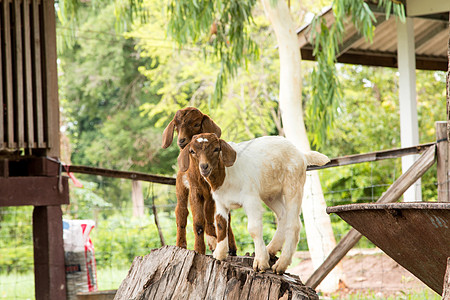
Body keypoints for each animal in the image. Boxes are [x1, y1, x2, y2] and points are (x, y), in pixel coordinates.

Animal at [163, 106, 237, 254]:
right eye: (176, 126)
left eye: (196, 124)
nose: (181, 140)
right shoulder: (195, 190)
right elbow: (198, 221)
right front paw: (198, 249)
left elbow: (226, 218)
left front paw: (231, 248)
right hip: (181, 186)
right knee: (181, 212)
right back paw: (181, 244)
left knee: (208, 215)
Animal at [177, 132, 330, 274]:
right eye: (192, 151)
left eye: (216, 149)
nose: (204, 166)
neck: (226, 175)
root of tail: (301, 154)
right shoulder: (220, 201)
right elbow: (221, 224)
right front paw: (219, 254)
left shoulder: (250, 198)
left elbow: (254, 228)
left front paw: (260, 262)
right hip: (271, 194)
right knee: (283, 215)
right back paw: (271, 249)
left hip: (293, 184)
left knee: (294, 224)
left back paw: (280, 264)